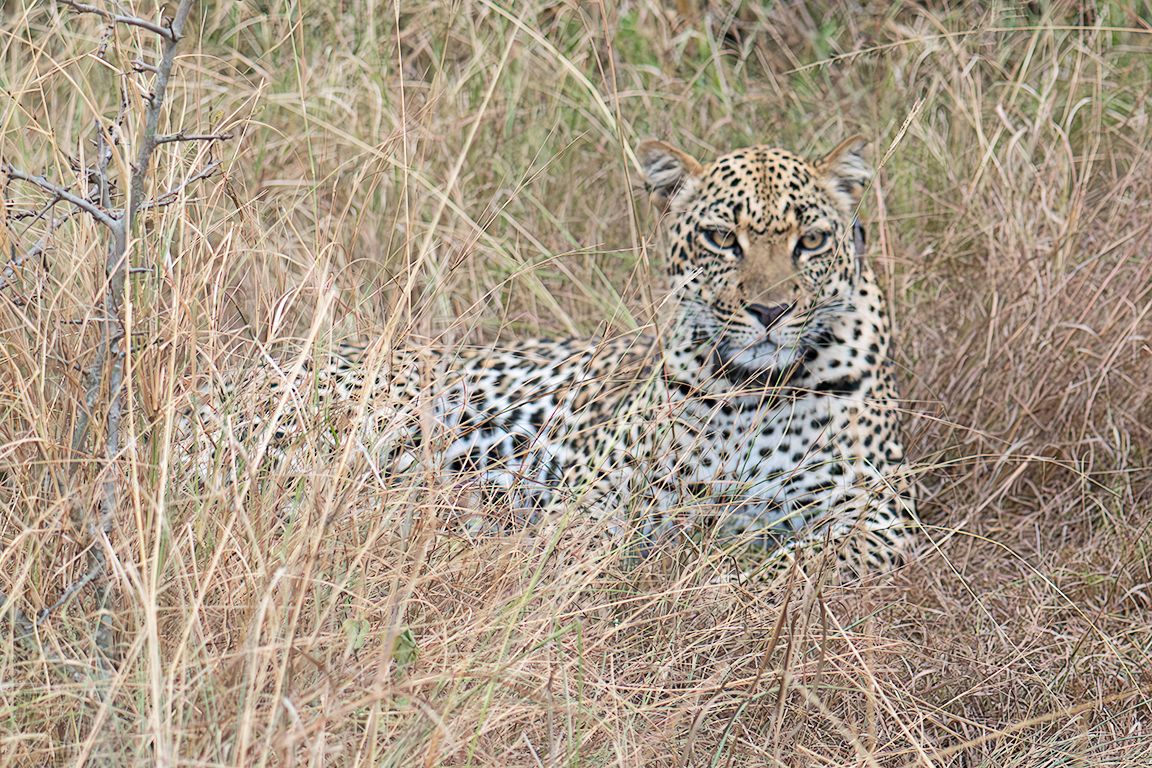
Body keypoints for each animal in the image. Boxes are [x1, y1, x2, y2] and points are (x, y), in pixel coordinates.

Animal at [188, 136, 918, 582]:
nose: (769, 311)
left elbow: (797, 563)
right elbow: (581, 542)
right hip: (363, 423)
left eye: (811, 241)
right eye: (720, 238)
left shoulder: (883, 513)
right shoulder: (600, 491)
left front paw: (722, 570)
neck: (755, 389)